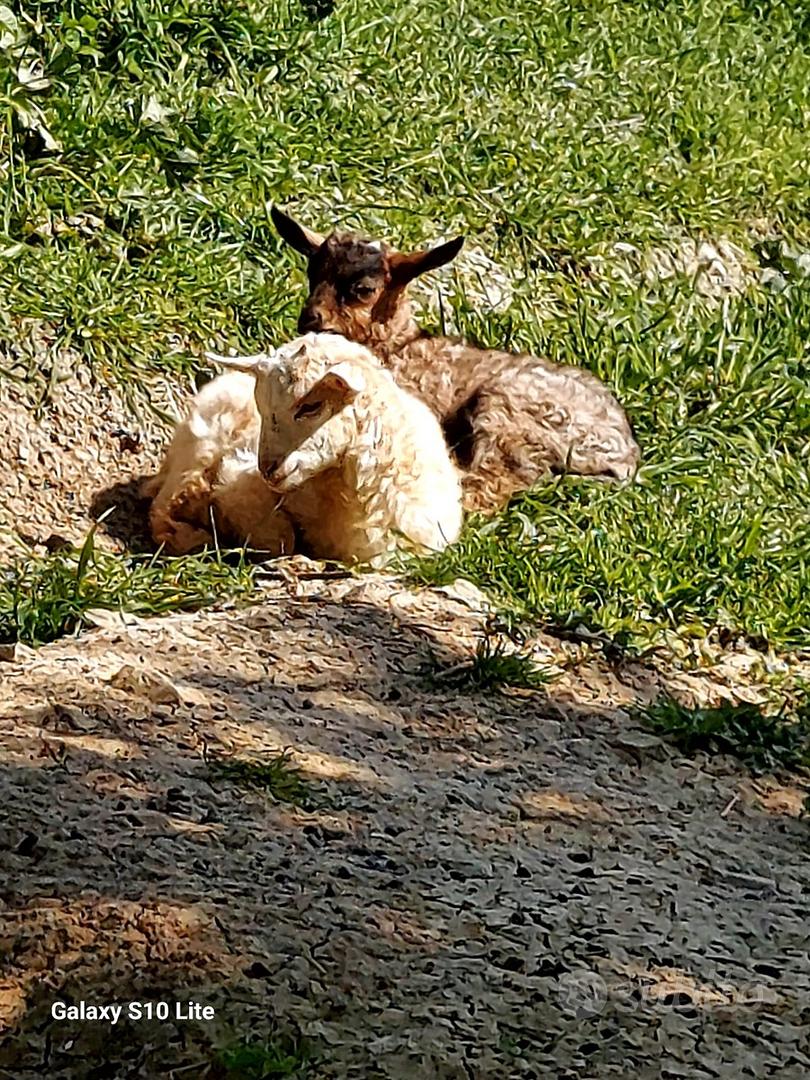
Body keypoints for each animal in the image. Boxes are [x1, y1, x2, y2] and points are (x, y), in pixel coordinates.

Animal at [271, 206, 641, 513]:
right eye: (312, 275)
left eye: (363, 290)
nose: (311, 319)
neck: (397, 346)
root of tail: (623, 457)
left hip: (511, 414)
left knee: (492, 481)